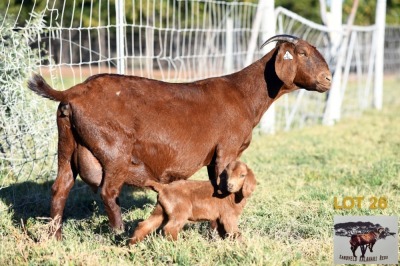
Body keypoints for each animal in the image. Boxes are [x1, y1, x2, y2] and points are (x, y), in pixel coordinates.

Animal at [25, 33, 332, 239]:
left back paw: (55, 237)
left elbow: (215, 186)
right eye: (302, 53)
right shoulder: (227, 150)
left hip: (66, 145)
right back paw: (119, 233)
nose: (328, 79)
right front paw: (218, 234)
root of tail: (72, 93)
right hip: (114, 150)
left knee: (60, 188)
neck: (244, 95)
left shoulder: (213, 156)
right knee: (108, 192)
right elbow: (222, 188)